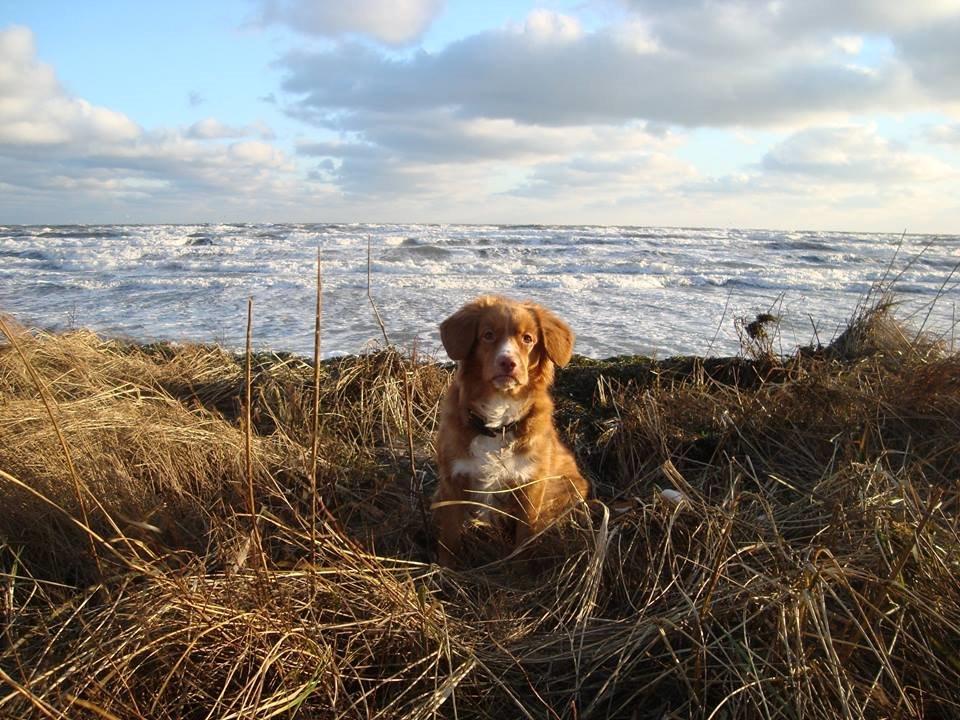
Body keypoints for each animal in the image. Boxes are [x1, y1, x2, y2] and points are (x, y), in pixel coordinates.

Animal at [434, 296, 584, 564]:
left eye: (528, 338)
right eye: (488, 335)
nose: (508, 362)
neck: (498, 421)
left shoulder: (531, 484)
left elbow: (525, 536)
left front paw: (519, 567)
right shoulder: (451, 479)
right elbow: (449, 538)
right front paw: (445, 569)